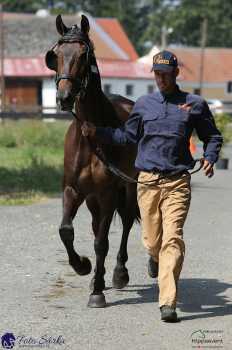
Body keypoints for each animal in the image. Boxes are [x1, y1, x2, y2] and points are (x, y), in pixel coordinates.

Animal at [45, 15, 140, 308]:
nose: (64, 98)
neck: (90, 136)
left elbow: (101, 242)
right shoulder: (73, 190)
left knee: (126, 221)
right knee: (97, 225)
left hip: (128, 188)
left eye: (83, 55)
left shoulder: (108, 193)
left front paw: (97, 292)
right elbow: (66, 230)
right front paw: (83, 266)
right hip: (91, 199)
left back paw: (120, 273)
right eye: (55, 55)